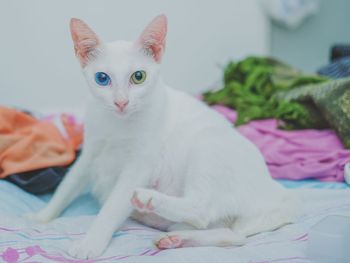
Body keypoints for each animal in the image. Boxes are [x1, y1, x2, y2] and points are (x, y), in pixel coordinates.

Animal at [26, 14, 298, 260]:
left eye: (139, 77)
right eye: (102, 78)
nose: (121, 102)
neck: (117, 125)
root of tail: (278, 195)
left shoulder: (140, 165)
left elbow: (113, 205)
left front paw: (91, 242)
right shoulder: (91, 150)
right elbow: (68, 184)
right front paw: (42, 216)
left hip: (208, 143)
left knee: (202, 208)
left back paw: (149, 199)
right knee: (231, 235)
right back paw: (176, 239)